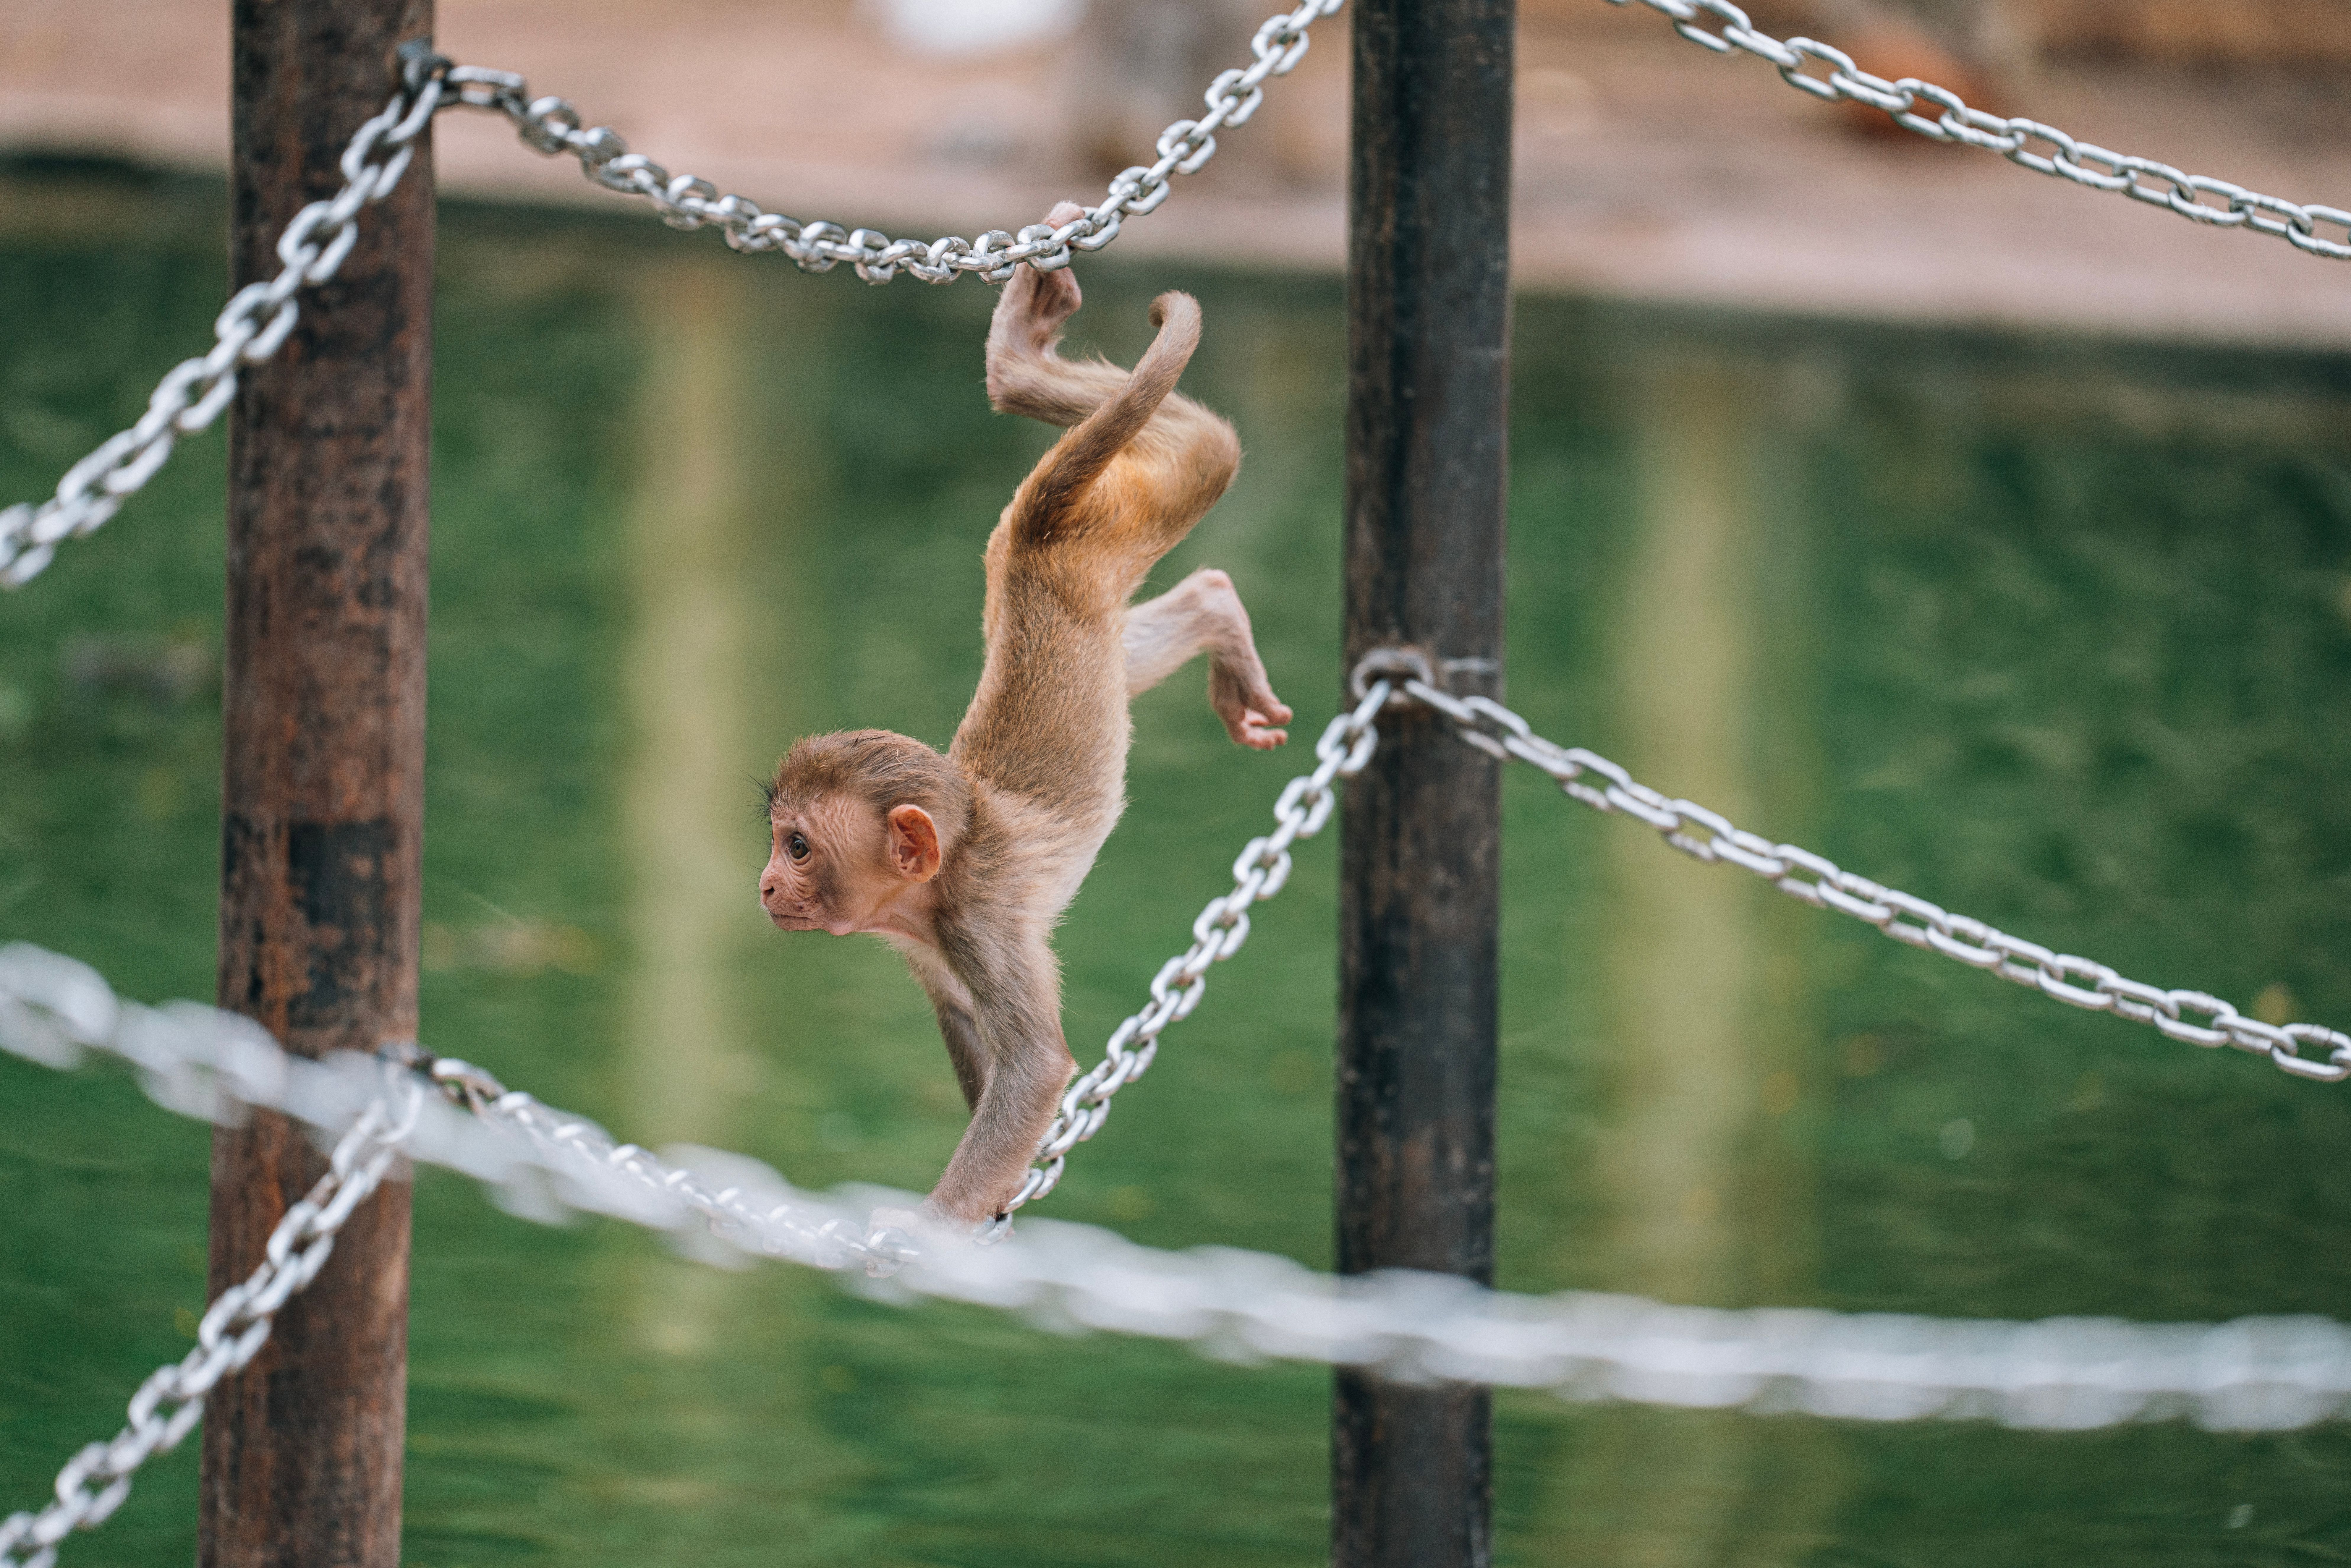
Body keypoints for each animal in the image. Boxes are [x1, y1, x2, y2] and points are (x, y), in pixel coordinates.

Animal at [759, 203, 1292, 1231]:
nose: (765, 884)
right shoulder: (927, 948)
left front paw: (925, 1235)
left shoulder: (979, 924)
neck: (942, 874)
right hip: (1061, 549)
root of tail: (1048, 523)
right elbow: (969, 1031)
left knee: (1201, 453)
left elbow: (1035, 1067)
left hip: (1132, 511)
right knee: (1124, 632)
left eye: (798, 846)